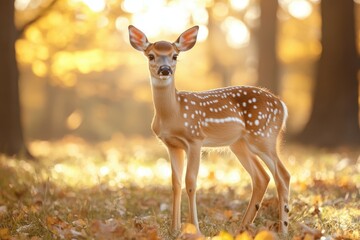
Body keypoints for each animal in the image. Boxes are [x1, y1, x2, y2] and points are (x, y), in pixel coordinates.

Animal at [128, 25, 292, 233]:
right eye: (151, 55)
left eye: (175, 55)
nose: (165, 69)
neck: (174, 112)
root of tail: (282, 105)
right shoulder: (172, 145)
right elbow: (175, 183)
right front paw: (174, 229)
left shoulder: (195, 139)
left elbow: (191, 182)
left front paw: (194, 230)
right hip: (239, 144)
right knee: (261, 177)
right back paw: (242, 229)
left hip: (264, 136)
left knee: (283, 175)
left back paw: (282, 230)